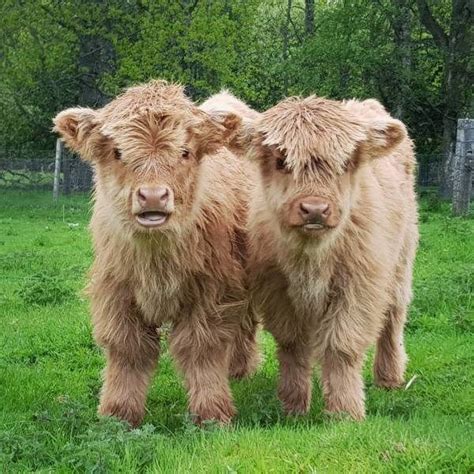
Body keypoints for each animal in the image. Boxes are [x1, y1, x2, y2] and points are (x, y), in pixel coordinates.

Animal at [53, 80, 260, 426]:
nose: (152, 196)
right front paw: (118, 415)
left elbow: (201, 349)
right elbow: (128, 350)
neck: (156, 259)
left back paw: (240, 370)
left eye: (185, 152)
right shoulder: (116, 292)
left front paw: (212, 414)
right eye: (118, 152)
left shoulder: (212, 293)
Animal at [224, 94, 416, 420]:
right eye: (281, 161)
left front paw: (345, 411)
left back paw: (389, 378)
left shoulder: (358, 287)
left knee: (393, 317)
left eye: (346, 162)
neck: (311, 257)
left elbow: (342, 347)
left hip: (401, 262)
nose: (315, 209)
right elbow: (293, 346)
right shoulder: (277, 291)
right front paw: (293, 406)